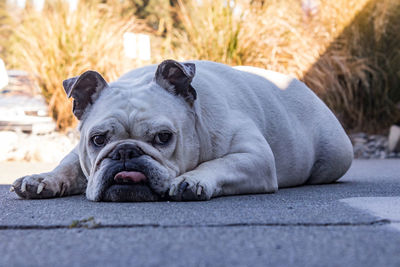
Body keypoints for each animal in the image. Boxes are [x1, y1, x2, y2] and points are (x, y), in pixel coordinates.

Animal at [10, 60, 352, 203]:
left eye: (163, 138)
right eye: (98, 140)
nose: (125, 152)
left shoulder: (254, 157)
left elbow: (219, 163)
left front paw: (192, 180)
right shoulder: (81, 154)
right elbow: (69, 165)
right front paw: (42, 180)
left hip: (336, 156)